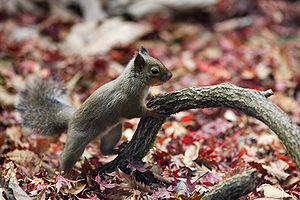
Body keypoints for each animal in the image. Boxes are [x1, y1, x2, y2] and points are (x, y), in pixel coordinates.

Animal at [15, 47, 172, 172]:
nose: (170, 75)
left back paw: (118, 149)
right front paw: (153, 111)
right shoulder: (129, 102)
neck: (134, 80)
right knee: (66, 157)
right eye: (154, 70)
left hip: (113, 132)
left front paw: (156, 95)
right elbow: (135, 112)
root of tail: (70, 121)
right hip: (77, 140)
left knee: (104, 150)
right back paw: (65, 175)